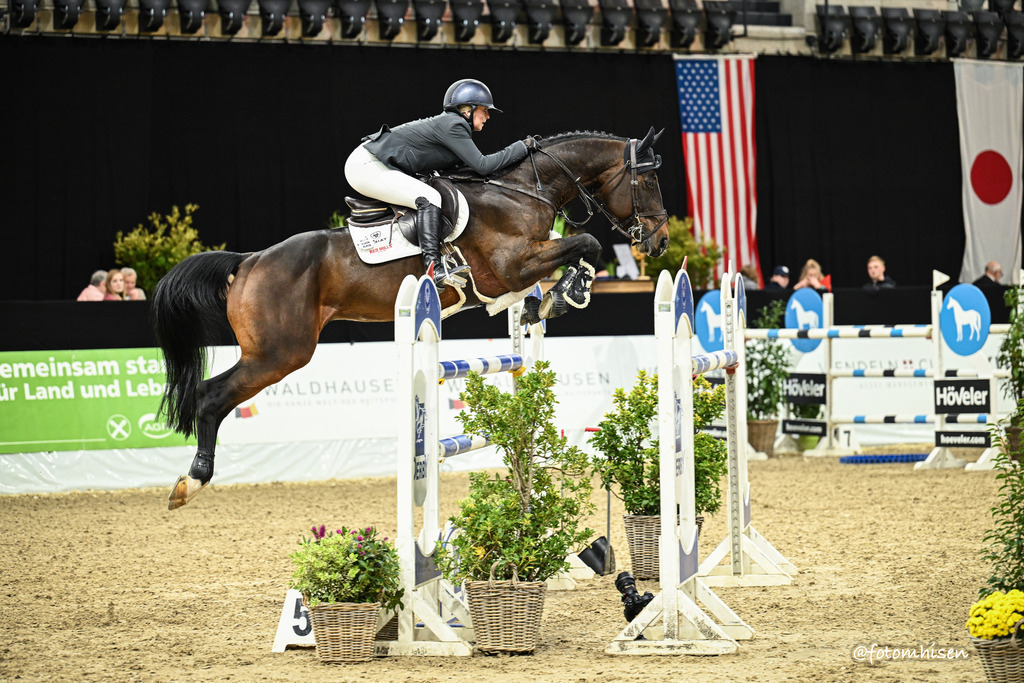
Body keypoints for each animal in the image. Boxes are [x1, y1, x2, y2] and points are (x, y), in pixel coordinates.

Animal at [153, 128, 671, 510]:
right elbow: (587, 243)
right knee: (210, 396)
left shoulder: (520, 268)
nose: (661, 242)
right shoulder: (512, 264)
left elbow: (568, 258)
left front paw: (543, 303)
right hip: (279, 353)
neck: (522, 191)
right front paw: (567, 294)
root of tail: (249, 261)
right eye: (647, 182)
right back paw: (190, 482)